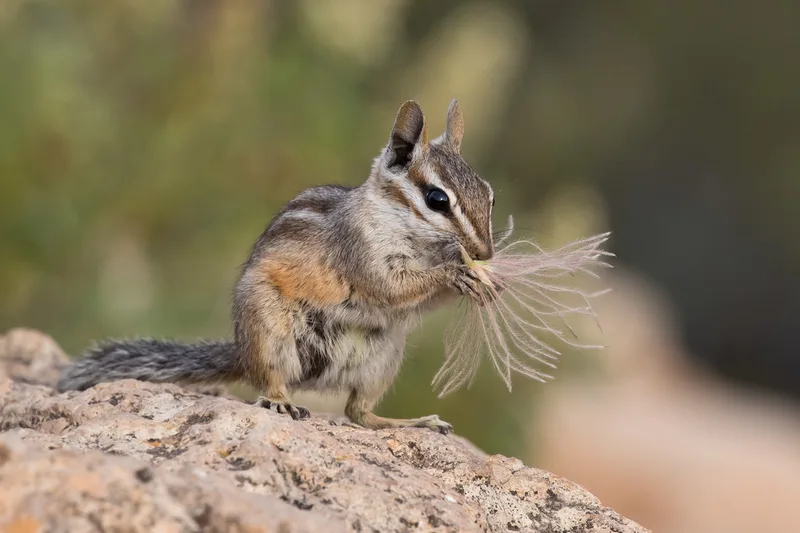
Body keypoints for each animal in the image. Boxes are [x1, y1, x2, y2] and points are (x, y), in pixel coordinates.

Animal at [57, 99, 497, 434]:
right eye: (437, 199)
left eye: (490, 195)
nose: (486, 252)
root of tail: (241, 352)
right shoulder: (361, 252)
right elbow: (391, 287)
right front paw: (457, 272)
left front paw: (485, 280)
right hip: (269, 328)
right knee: (273, 381)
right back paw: (281, 401)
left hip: (383, 357)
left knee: (358, 412)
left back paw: (412, 423)